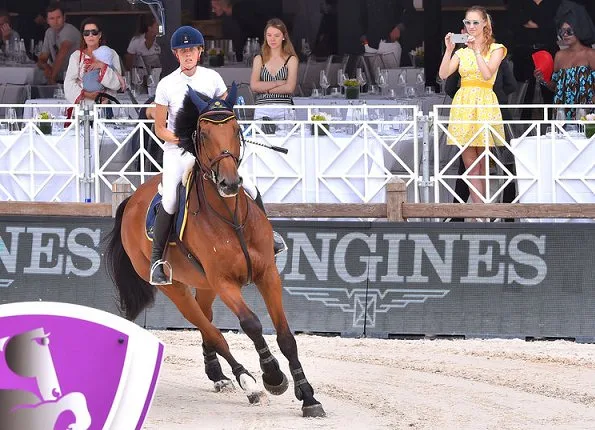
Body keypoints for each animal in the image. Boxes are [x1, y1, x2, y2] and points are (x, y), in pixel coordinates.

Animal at [103, 84, 326, 416]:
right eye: (204, 133)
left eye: (235, 129)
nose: (229, 183)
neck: (230, 217)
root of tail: (131, 200)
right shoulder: (224, 282)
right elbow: (251, 324)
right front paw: (272, 376)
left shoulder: (267, 274)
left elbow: (286, 336)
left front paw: (308, 397)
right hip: (176, 288)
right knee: (211, 331)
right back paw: (247, 383)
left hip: (204, 285)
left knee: (207, 323)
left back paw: (218, 374)